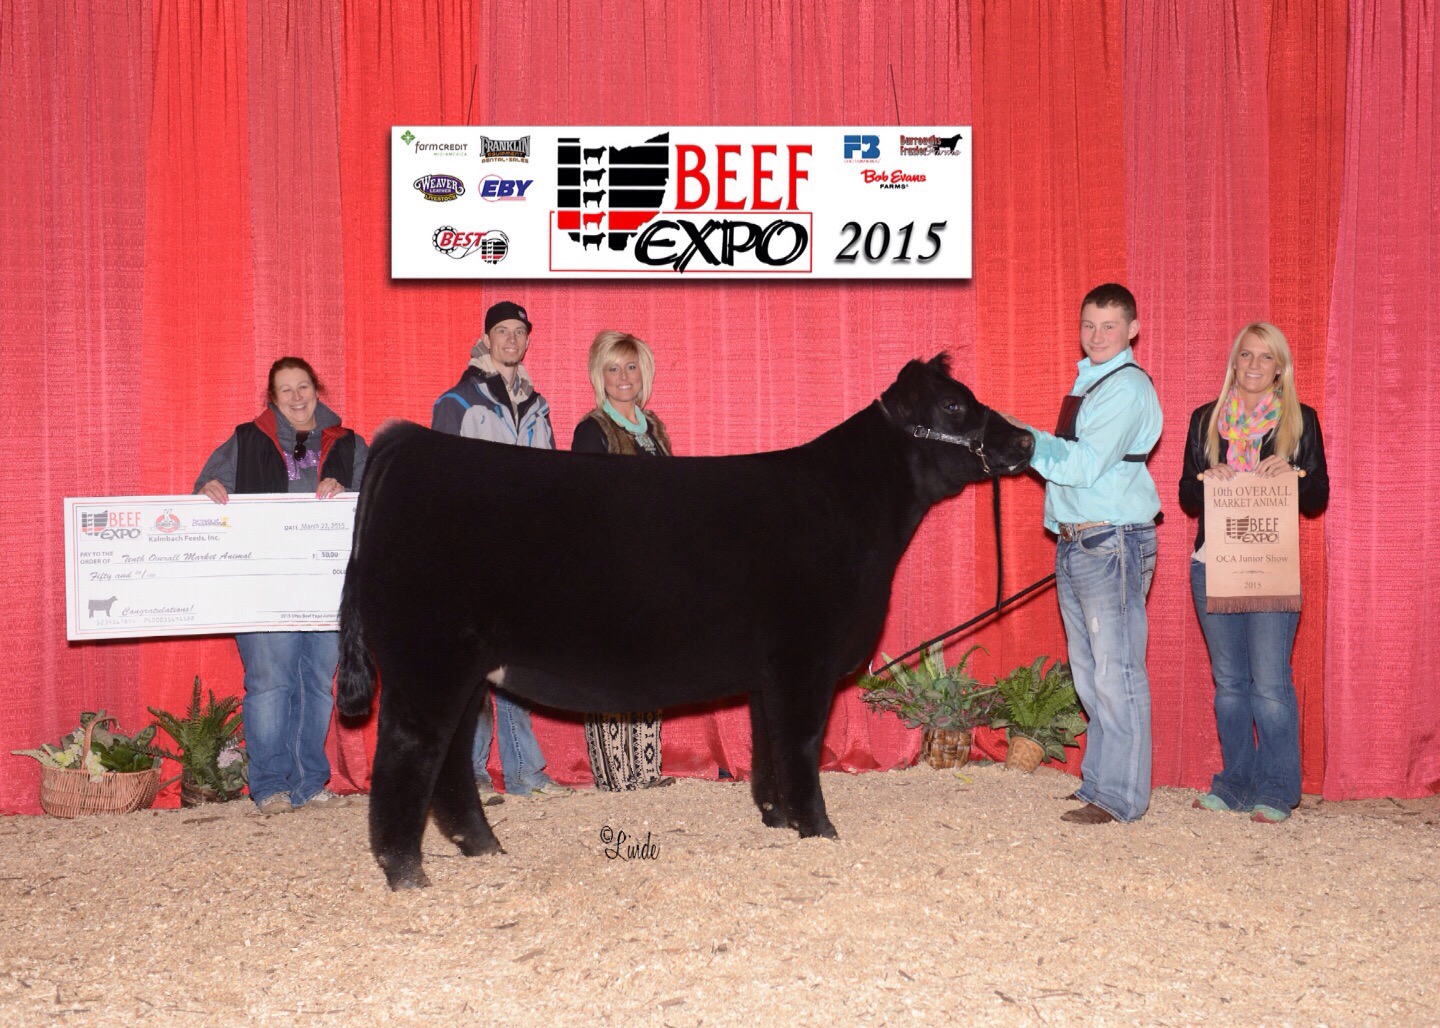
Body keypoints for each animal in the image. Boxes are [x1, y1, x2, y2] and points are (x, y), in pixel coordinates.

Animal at [337, 355, 1033, 889]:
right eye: (953, 407)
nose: (1026, 441)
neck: (852, 509)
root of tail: (411, 443)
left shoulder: (770, 671)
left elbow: (768, 746)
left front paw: (779, 819)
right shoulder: (805, 658)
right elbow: (802, 744)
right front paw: (820, 829)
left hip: (464, 669)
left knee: (451, 760)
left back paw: (483, 848)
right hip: (429, 662)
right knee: (408, 754)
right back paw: (407, 873)